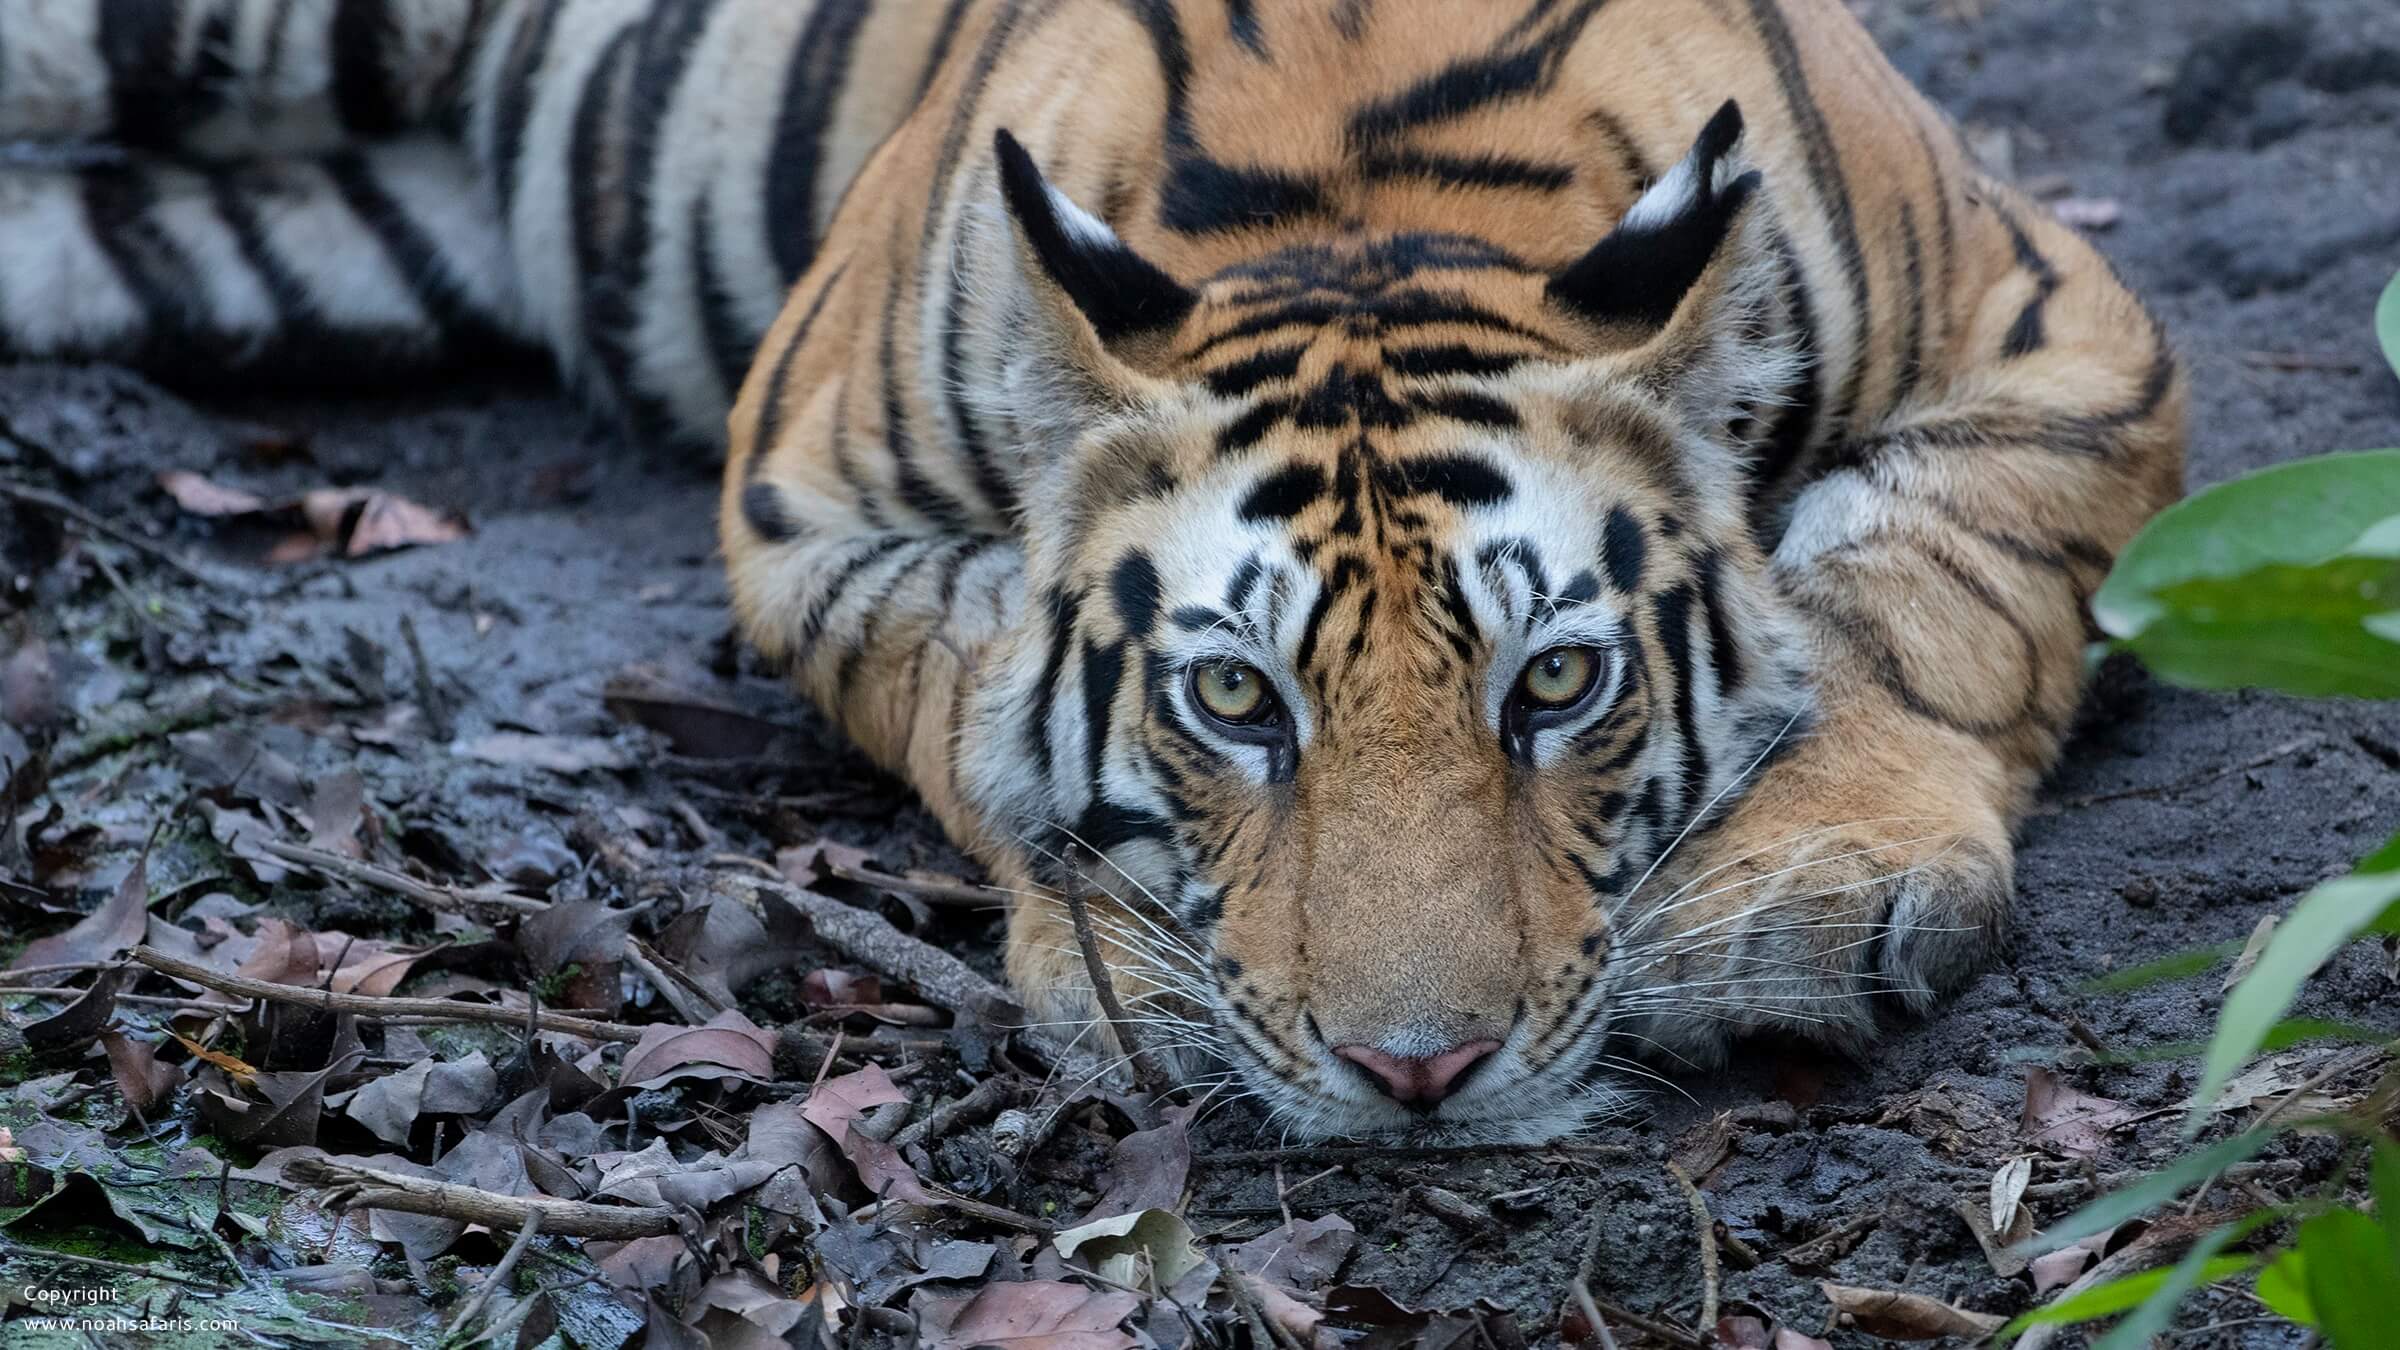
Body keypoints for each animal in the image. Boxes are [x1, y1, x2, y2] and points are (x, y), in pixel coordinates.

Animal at [0, 0, 2184, 1142]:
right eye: (1235, 697)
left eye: (1556, 683)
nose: (1418, 1074)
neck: (1359, 205)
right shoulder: (807, 508)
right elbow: (977, 685)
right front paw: (1127, 963)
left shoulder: (2064, 342)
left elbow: (1912, 604)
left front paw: (1806, 888)